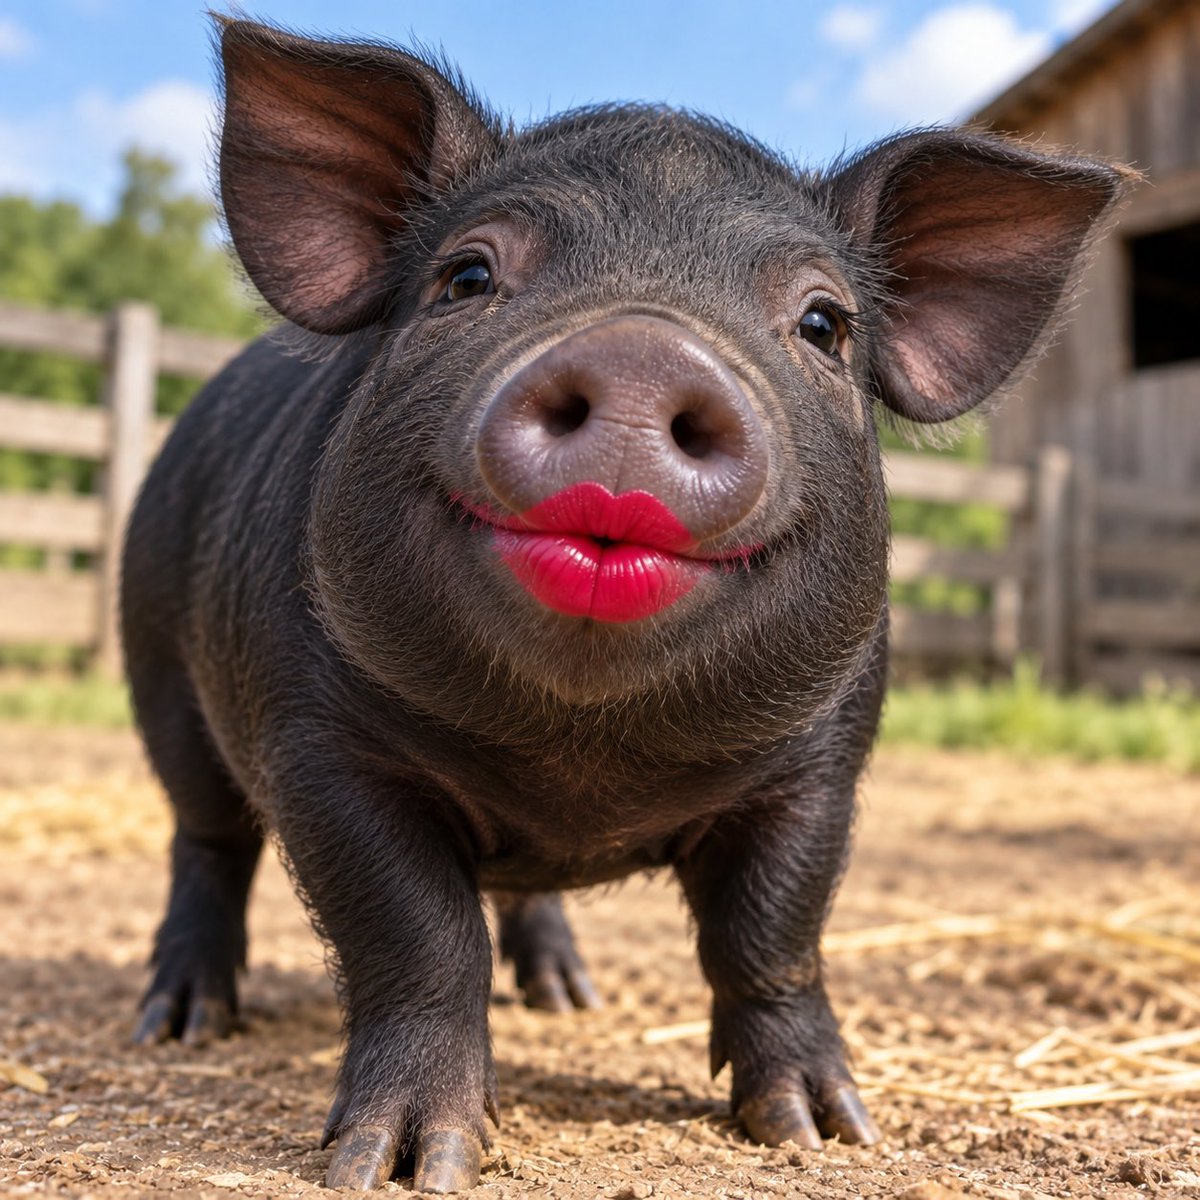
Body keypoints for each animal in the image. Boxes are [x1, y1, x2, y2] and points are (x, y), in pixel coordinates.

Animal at [120, 16, 1129, 1193]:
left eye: (824, 324)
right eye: (467, 274)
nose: (642, 348)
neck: (581, 761)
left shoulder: (821, 767)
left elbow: (773, 933)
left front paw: (825, 1132)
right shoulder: (318, 742)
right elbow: (416, 935)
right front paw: (406, 1163)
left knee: (520, 890)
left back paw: (569, 998)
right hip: (158, 668)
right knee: (206, 842)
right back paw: (177, 1025)